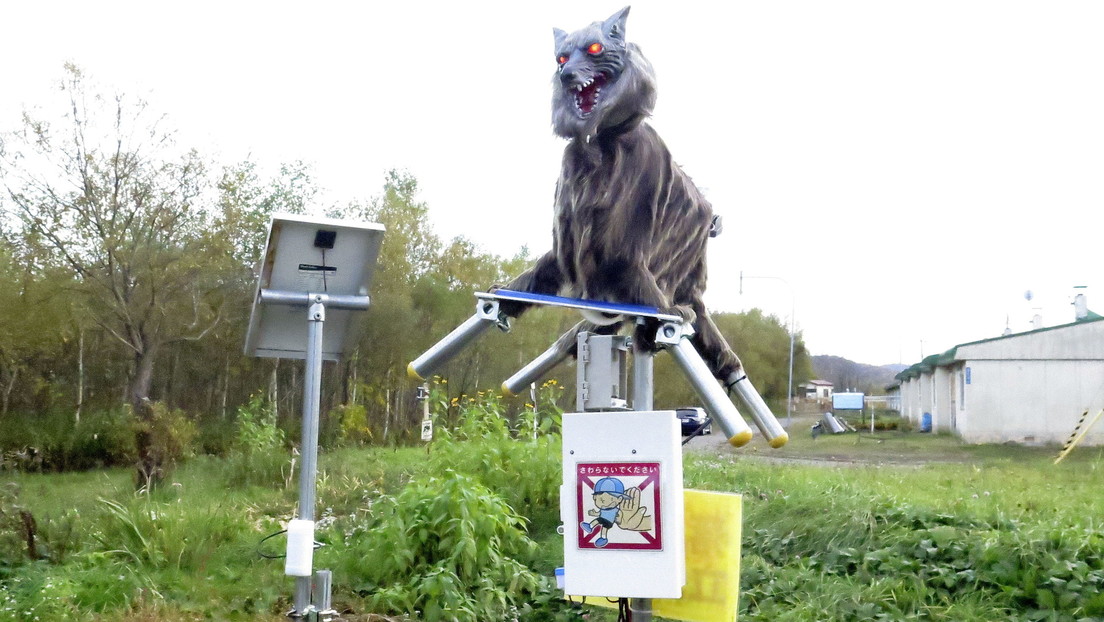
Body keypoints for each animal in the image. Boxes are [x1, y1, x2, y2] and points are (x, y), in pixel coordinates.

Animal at [503, 6, 746, 388]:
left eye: (594, 48)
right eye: (560, 57)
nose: (566, 74)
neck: (601, 144)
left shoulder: (626, 246)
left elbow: (645, 295)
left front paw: (663, 315)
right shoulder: (568, 238)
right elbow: (540, 272)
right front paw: (509, 294)